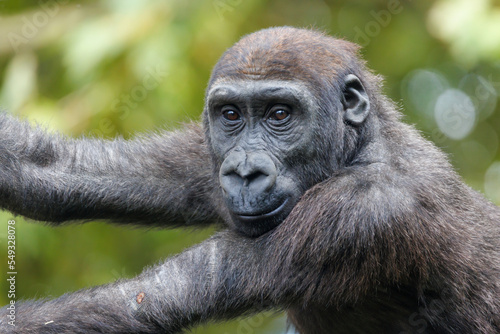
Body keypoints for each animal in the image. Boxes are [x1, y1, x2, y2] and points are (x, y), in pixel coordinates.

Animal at [0, 26, 500, 334]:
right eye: (231, 115)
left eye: (280, 114)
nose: (244, 171)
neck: (360, 148)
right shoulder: (207, 152)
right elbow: (49, 167)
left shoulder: (363, 212)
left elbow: (145, 301)